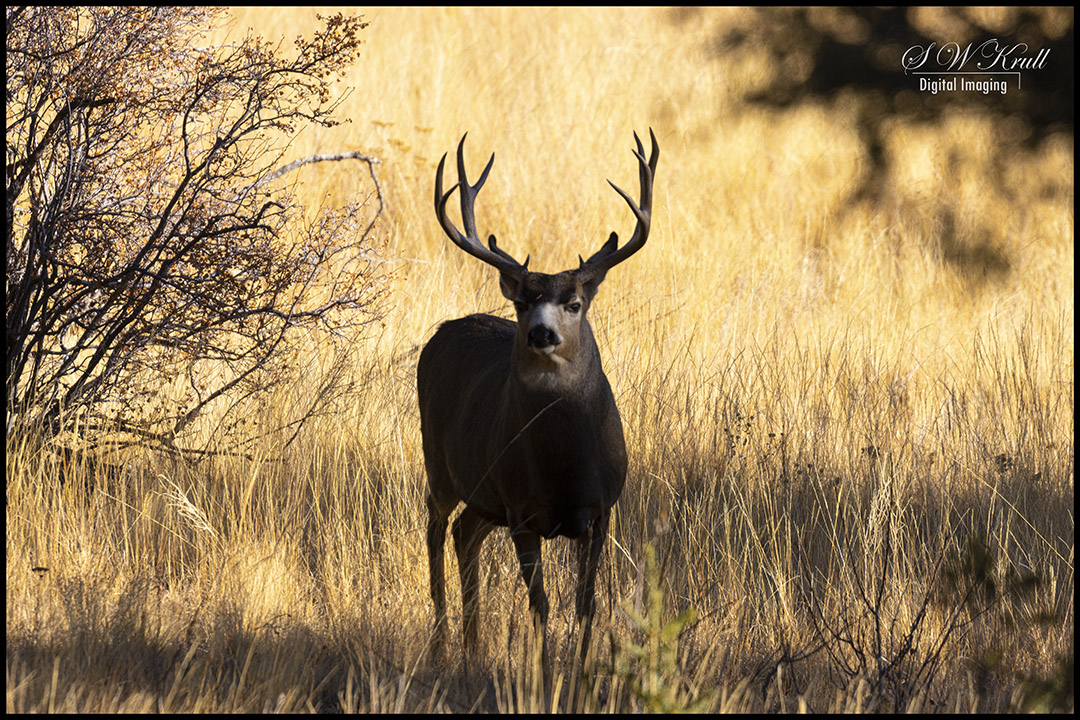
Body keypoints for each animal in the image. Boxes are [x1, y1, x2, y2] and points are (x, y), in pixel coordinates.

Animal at [417, 129, 658, 663]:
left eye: (574, 303)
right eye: (522, 303)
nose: (541, 334)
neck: (564, 465)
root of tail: (443, 330)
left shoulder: (600, 512)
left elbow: (587, 604)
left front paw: (583, 671)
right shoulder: (523, 513)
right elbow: (541, 605)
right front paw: (544, 672)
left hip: (485, 494)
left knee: (465, 534)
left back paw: (473, 648)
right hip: (441, 465)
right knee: (436, 529)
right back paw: (442, 643)